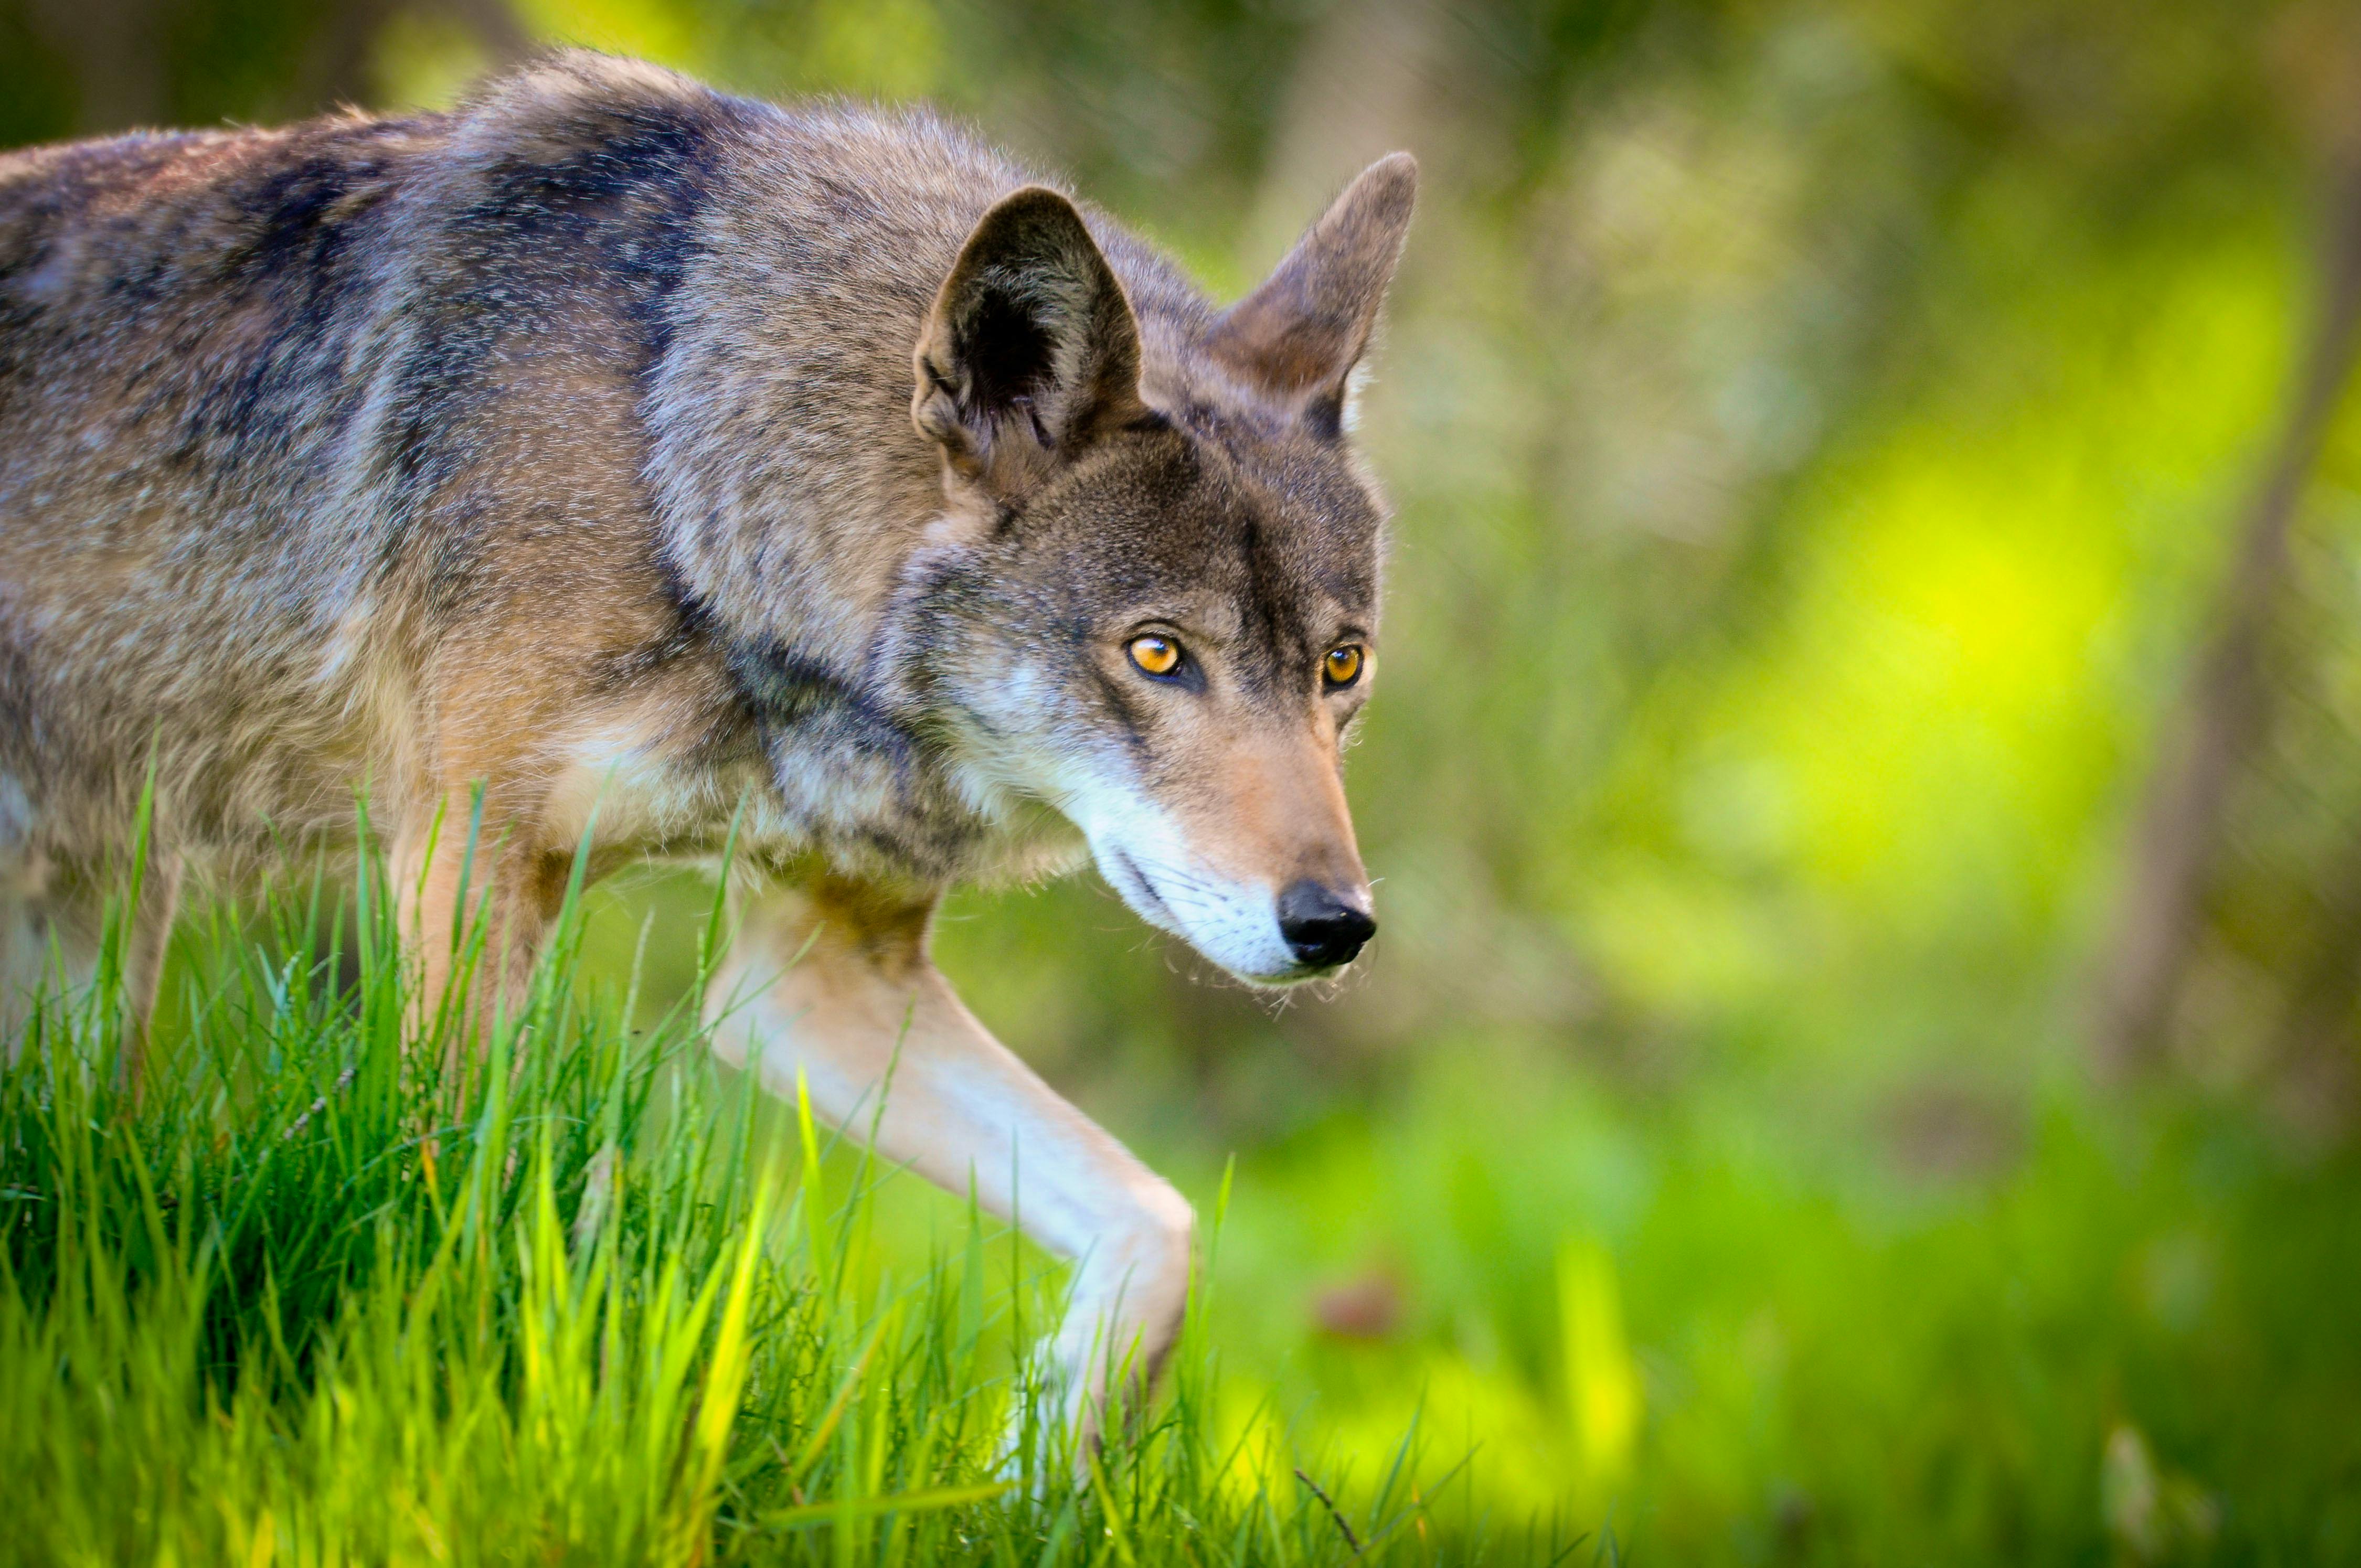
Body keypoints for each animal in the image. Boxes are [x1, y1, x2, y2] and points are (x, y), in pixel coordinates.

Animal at [0, 51, 1412, 1438]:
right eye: (1159, 654)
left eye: (1340, 667)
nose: (1334, 926)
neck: (669, 450)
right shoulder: (461, 862)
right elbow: (464, 1202)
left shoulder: (807, 977)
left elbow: (1158, 1227)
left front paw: (1045, 1453)